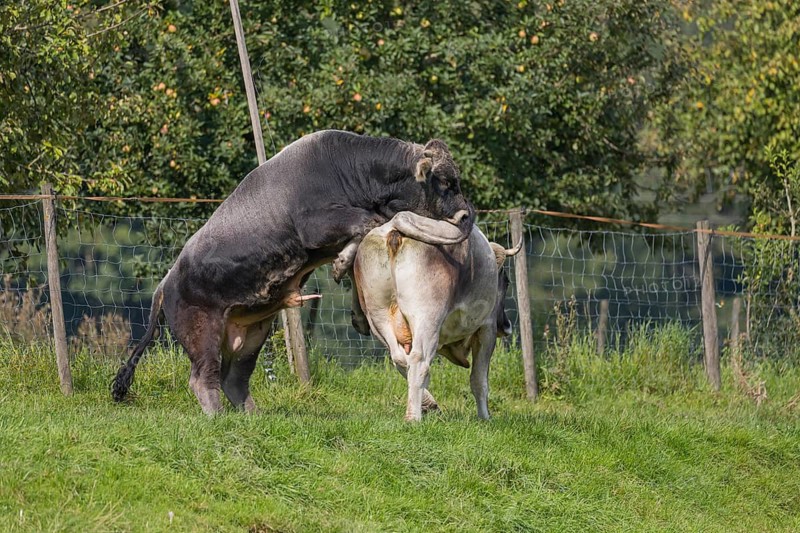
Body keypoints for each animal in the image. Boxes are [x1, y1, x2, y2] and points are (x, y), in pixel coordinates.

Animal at [111, 130, 475, 415]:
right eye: (445, 182)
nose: (466, 215)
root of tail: (166, 282)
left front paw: (353, 301)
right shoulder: (315, 226)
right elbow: (365, 224)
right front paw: (343, 265)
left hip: (252, 334)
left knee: (234, 379)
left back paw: (252, 417)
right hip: (202, 332)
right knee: (204, 378)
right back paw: (218, 417)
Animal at [353, 220, 521, 421]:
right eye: (507, 281)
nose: (506, 326)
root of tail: (393, 230)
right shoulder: (486, 329)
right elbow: (479, 380)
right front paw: (485, 418)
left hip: (379, 317)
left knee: (400, 359)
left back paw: (425, 404)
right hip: (427, 318)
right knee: (418, 360)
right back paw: (413, 417)